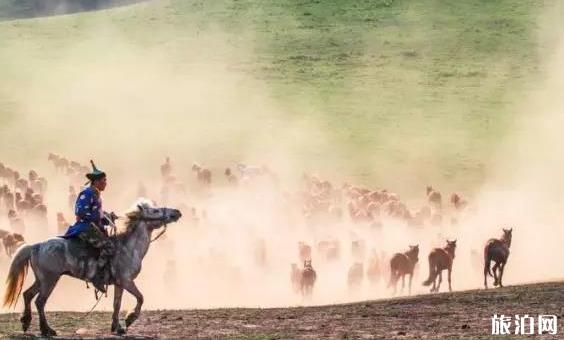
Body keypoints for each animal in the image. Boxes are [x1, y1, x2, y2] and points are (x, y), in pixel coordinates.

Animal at [2, 201, 182, 336]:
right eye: (155, 210)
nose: (177, 212)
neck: (128, 247)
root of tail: (35, 246)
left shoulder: (119, 283)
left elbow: (117, 304)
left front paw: (117, 327)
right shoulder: (127, 281)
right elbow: (140, 297)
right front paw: (130, 318)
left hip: (41, 279)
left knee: (28, 295)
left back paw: (26, 322)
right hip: (50, 279)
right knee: (40, 301)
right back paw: (47, 330)